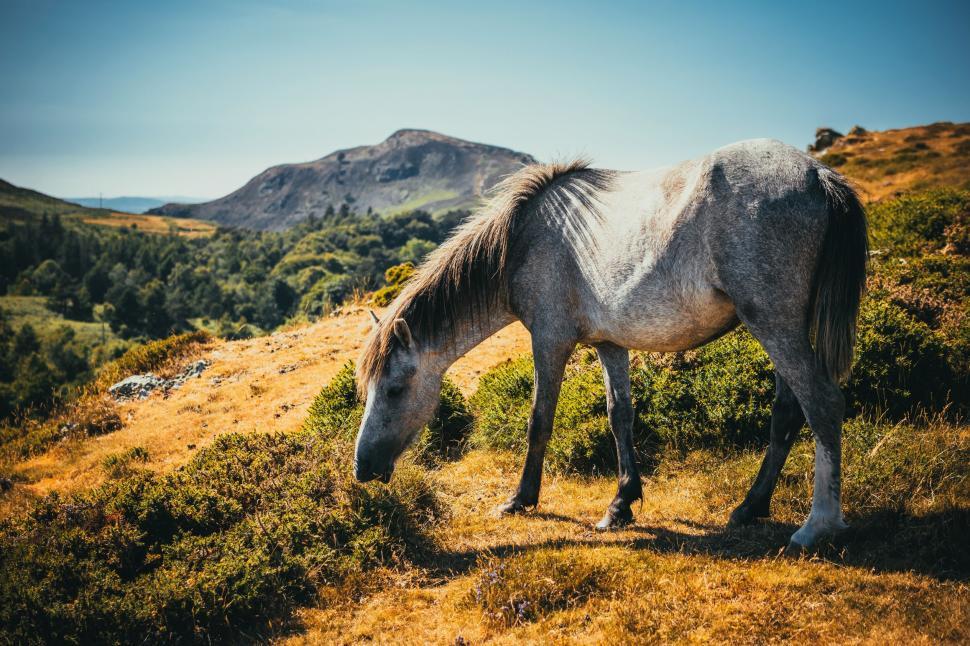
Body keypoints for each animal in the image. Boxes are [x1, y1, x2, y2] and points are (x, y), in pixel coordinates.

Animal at [352, 139, 868, 550]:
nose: (363, 469)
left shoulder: (550, 341)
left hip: (775, 324)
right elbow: (620, 416)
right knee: (787, 411)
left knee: (822, 403)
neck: (523, 239)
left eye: (395, 389)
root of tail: (817, 174)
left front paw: (521, 499)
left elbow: (539, 420)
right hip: (780, 328)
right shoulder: (609, 344)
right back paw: (751, 507)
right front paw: (621, 504)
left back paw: (818, 526)